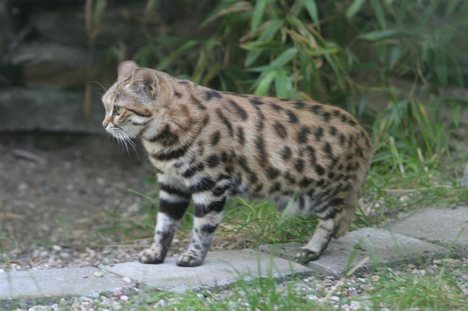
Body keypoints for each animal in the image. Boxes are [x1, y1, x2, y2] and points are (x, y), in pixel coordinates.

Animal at [102, 61, 372, 268]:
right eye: (105, 106)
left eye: (118, 109)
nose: (104, 124)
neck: (161, 139)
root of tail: (363, 133)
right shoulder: (171, 184)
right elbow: (164, 224)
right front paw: (156, 253)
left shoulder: (211, 182)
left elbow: (202, 226)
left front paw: (193, 257)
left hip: (321, 191)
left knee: (332, 219)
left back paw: (311, 250)